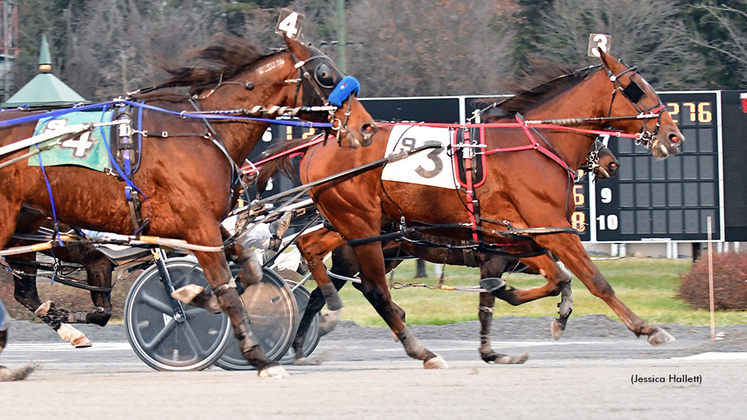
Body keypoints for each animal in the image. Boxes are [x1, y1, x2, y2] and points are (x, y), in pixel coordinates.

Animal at [0, 33, 376, 378]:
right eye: (325, 74)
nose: (367, 126)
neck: (202, 132)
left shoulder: (206, 228)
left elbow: (248, 270)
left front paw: (198, 297)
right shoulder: (196, 228)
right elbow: (225, 288)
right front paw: (259, 357)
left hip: (24, 226)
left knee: (25, 291)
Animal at [258, 50, 684, 368]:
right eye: (635, 89)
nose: (673, 135)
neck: (534, 146)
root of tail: (318, 145)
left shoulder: (523, 239)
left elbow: (548, 282)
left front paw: (525, 319)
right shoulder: (551, 230)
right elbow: (595, 281)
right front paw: (648, 329)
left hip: (361, 226)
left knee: (315, 252)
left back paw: (317, 325)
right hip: (361, 227)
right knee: (372, 287)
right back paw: (409, 345)